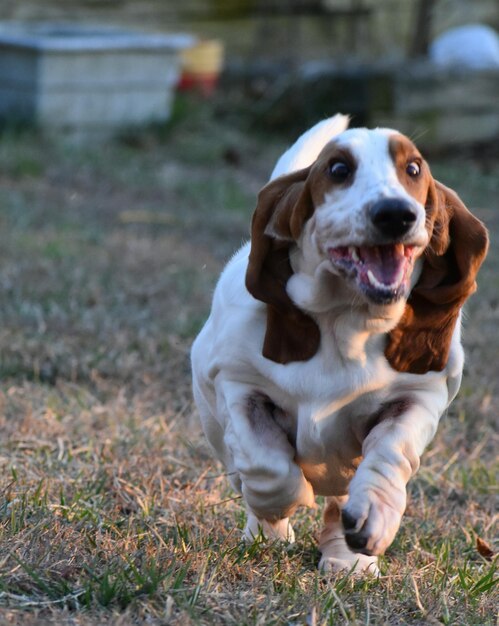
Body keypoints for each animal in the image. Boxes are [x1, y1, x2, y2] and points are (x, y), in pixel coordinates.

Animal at [190, 112, 488, 572]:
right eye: (338, 169)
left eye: (413, 169)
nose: (396, 214)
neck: (345, 319)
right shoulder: (239, 385)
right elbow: (265, 463)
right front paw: (282, 507)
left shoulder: (419, 397)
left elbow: (389, 455)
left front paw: (372, 522)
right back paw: (267, 533)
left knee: (342, 496)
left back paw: (349, 561)